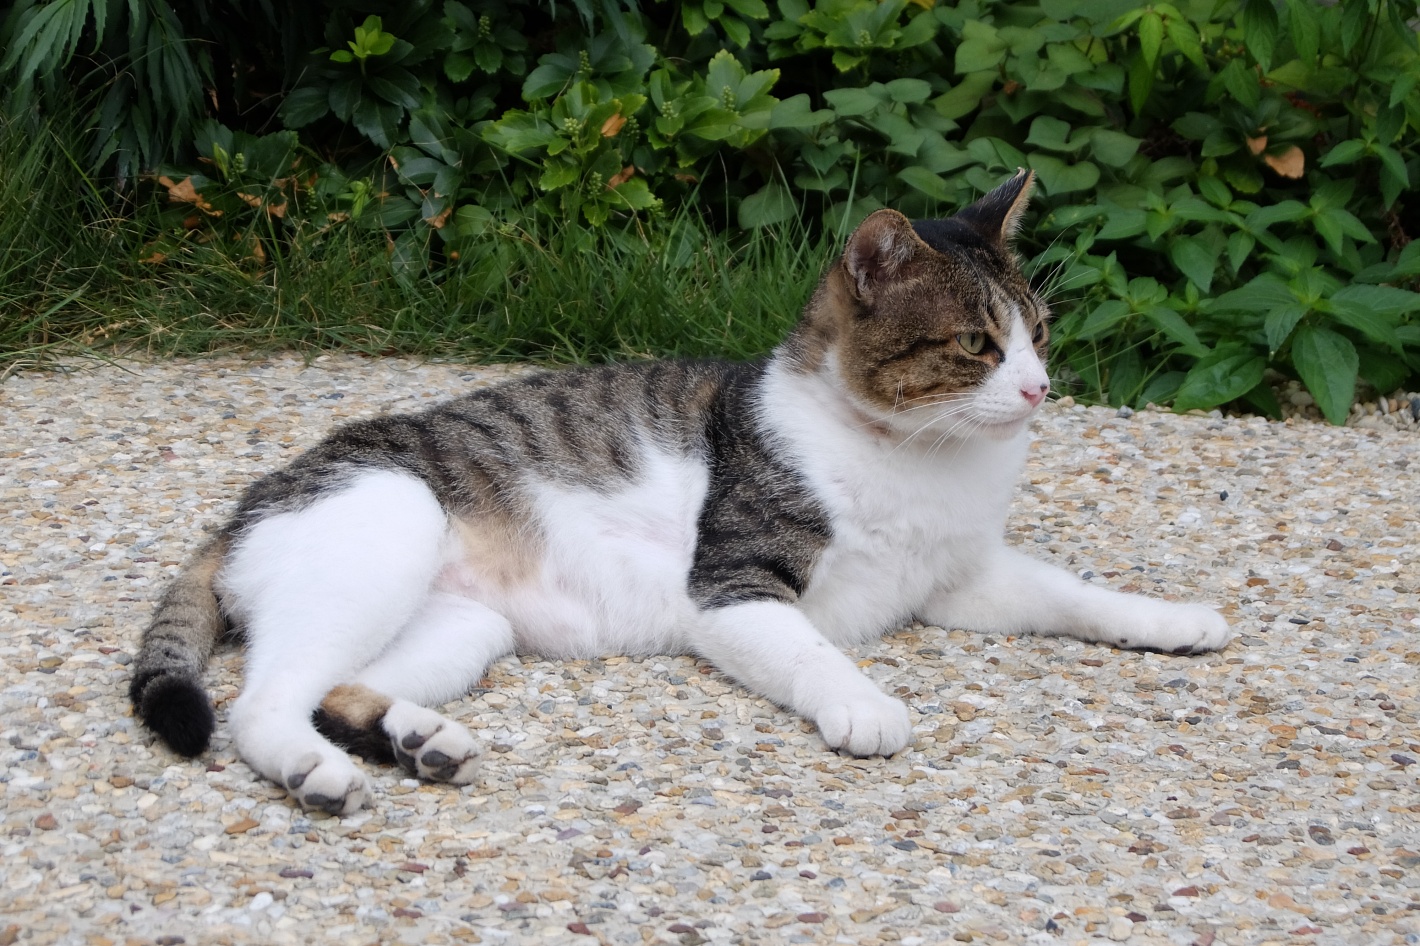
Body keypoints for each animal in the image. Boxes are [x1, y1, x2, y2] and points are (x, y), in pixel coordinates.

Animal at [124, 169, 1232, 812]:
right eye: (976, 346)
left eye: (1037, 333)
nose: (1041, 388)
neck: (916, 456)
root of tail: (248, 503)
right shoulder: (734, 588)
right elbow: (819, 654)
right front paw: (864, 703)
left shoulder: (961, 580)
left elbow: (1072, 593)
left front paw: (1168, 619)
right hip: (387, 526)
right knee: (264, 704)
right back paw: (321, 771)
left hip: (464, 627)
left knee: (334, 688)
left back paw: (416, 740)